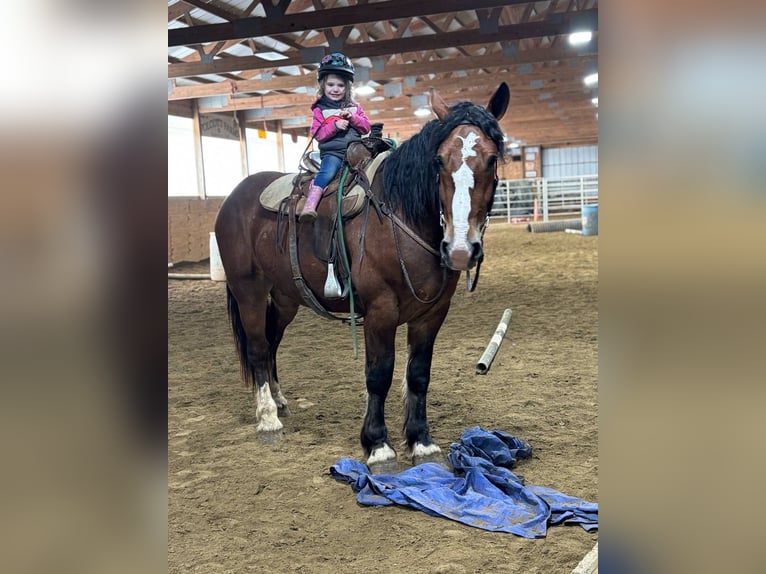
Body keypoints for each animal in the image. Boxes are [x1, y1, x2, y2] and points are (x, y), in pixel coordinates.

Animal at [214, 82, 509, 468]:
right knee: (258, 348)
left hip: (285, 297)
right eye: (439, 160)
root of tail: (233, 198)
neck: (401, 213)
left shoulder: (432, 314)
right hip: (248, 290)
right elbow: (379, 374)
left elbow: (418, 374)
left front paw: (420, 440)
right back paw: (267, 417)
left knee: (272, 340)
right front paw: (378, 443)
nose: (460, 249)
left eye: (491, 159)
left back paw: (278, 401)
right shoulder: (380, 310)